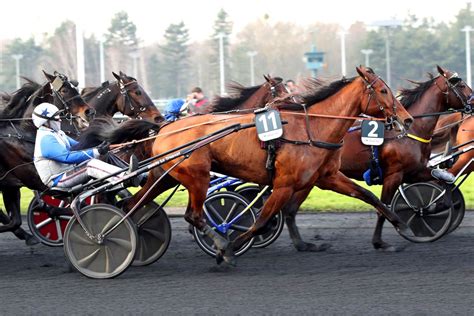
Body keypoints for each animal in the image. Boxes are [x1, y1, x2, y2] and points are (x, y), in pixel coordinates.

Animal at [0, 71, 93, 244]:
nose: (89, 112)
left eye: (75, 88)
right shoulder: (36, 180)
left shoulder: (11, 185)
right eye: (64, 90)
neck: (23, 134)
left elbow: (15, 220)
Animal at [111, 66, 412, 264]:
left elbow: (369, 196)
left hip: (166, 175)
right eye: (383, 90)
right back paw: (219, 243)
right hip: (198, 176)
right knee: (193, 215)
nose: (407, 119)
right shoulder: (284, 183)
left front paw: (399, 228)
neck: (312, 127)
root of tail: (164, 128)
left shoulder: (325, 177)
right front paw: (230, 247)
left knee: (132, 204)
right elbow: (262, 219)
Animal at [338, 66, 472, 249]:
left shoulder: (413, 171)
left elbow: (444, 180)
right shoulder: (394, 175)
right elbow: (383, 207)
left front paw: (431, 208)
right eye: (462, 85)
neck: (409, 131)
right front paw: (379, 241)